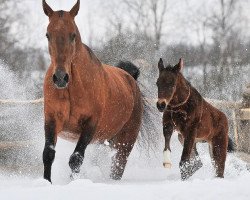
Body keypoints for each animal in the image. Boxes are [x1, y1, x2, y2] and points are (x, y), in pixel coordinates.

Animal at [42, 0, 145, 182]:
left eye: (73, 35)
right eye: (48, 35)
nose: (60, 77)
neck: (73, 88)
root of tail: (131, 79)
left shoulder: (90, 125)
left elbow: (76, 159)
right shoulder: (52, 120)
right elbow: (48, 154)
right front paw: (46, 182)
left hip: (124, 143)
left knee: (118, 166)